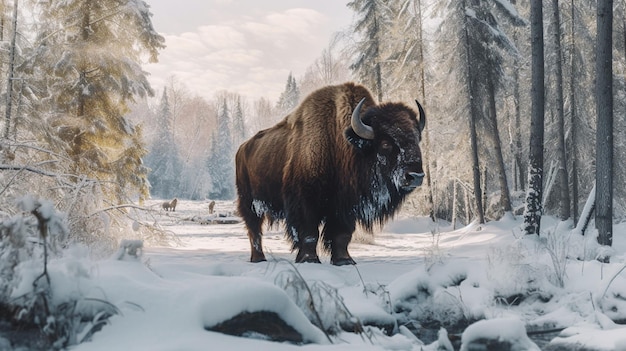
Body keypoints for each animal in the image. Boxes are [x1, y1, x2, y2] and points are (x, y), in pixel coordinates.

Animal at [234, 82, 424, 266]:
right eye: (385, 143)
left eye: (417, 139)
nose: (416, 176)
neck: (342, 144)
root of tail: (242, 148)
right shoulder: (305, 203)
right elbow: (309, 234)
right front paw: (309, 259)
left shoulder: (345, 207)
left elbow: (342, 236)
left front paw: (345, 260)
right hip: (250, 203)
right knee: (254, 230)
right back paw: (258, 258)